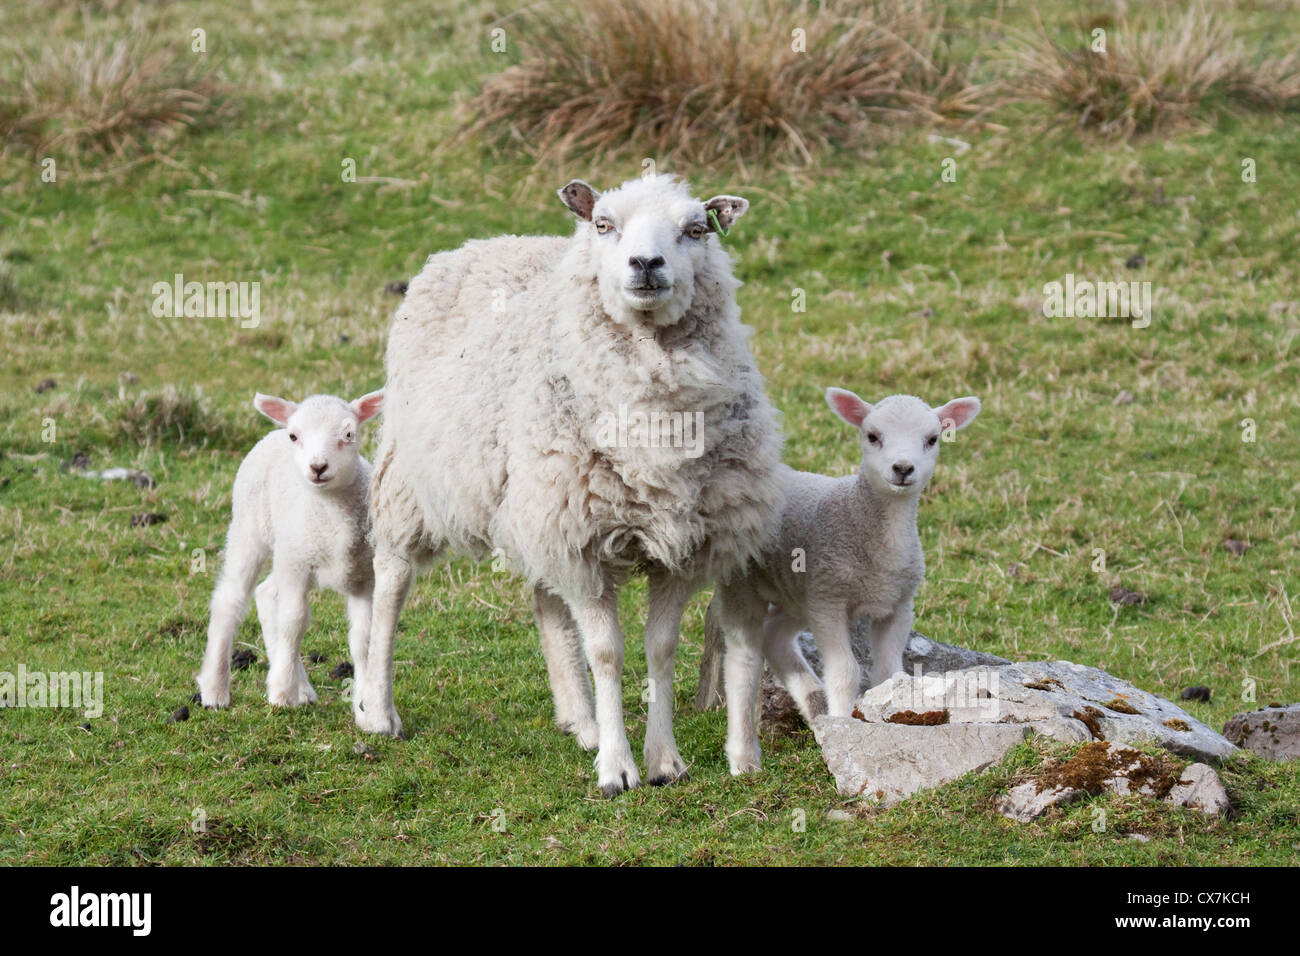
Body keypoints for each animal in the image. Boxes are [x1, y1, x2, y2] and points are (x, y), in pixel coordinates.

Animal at [192, 390, 384, 712]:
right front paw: (281, 692)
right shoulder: (297, 568)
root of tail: (272, 433)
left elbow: (364, 638)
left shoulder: (364, 577)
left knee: (266, 594)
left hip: (287, 550)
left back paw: (301, 686)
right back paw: (216, 690)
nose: (318, 467)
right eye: (295, 436)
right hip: (251, 530)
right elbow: (294, 623)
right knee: (230, 600)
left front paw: (366, 700)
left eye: (349, 434)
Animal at [358, 174, 780, 801]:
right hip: (411, 478)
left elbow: (660, 649)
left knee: (548, 604)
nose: (646, 263)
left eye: (696, 229)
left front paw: (663, 760)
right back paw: (378, 710)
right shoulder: (581, 539)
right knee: (391, 580)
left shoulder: (677, 546)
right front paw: (617, 768)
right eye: (603, 223)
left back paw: (581, 720)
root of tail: (482, 243)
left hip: (536, 502)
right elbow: (606, 653)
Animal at [707, 385, 977, 775]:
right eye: (872, 436)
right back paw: (744, 758)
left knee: (775, 635)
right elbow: (846, 671)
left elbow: (889, 674)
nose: (902, 468)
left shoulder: (897, 604)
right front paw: (842, 725)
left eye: (932, 439)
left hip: (798, 594)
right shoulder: (829, 600)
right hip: (746, 583)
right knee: (743, 662)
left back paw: (814, 707)